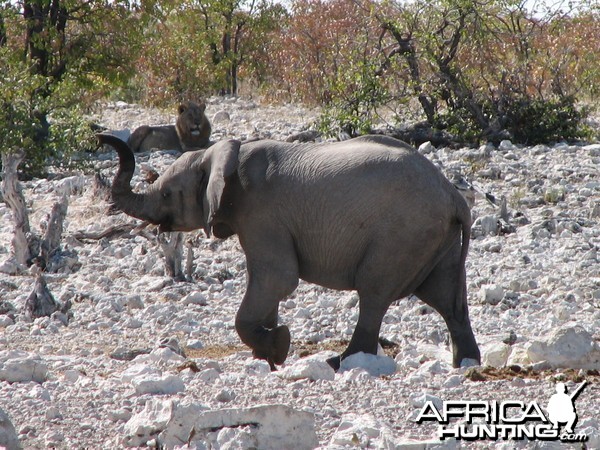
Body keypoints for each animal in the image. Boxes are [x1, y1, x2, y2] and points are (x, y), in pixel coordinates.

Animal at [99, 133, 482, 370]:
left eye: (166, 194)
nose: (99, 137)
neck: (225, 153)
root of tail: (454, 195)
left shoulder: (262, 214)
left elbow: (278, 279)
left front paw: (279, 346)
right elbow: (267, 283)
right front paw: (265, 352)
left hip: (401, 235)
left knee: (374, 293)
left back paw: (339, 362)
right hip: (436, 239)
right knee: (447, 299)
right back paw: (466, 363)